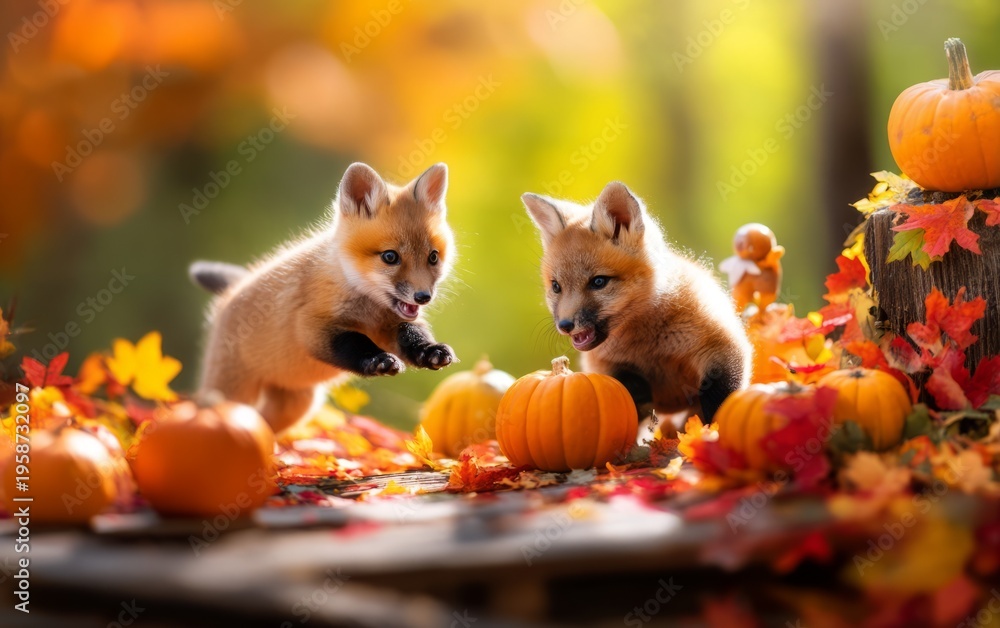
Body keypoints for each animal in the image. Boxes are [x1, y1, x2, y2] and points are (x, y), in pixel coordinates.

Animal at [189, 162, 457, 433]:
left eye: (433, 257)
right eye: (390, 257)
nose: (423, 297)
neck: (368, 309)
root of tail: (232, 291)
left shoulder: (390, 326)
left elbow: (411, 334)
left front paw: (429, 350)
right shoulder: (311, 327)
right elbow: (353, 343)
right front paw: (376, 359)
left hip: (296, 406)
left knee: (266, 425)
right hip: (233, 392)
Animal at [522, 181, 752, 422]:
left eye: (598, 282)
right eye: (556, 287)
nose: (565, 325)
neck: (649, 345)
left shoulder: (722, 350)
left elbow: (717, 409)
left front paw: (710, 432)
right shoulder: (608, 368)